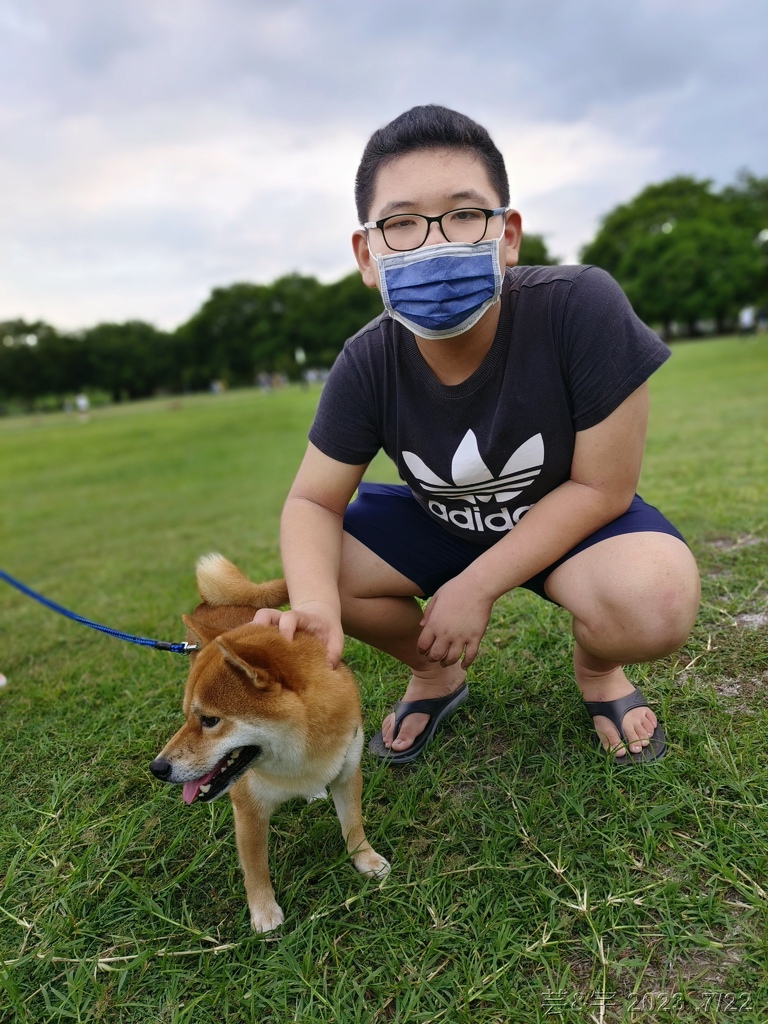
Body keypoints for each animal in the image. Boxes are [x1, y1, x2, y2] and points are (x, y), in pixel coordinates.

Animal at [150, 557, 391, 933]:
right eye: (188, 717)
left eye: (210, 720)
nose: (157, 768)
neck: (300, 755)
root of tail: (212, 601)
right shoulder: (248, 808)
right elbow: (255, 868)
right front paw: (264, 913)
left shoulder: (347, 771)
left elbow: (353, 823)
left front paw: (364, 858)